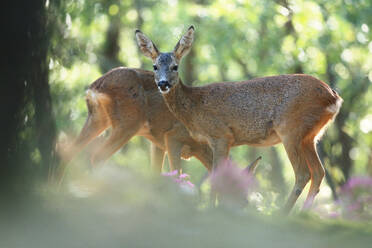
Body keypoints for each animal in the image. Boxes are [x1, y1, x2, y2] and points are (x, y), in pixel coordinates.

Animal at [59, 66, 214, 179]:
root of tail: (96, 87)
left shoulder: (159, 142)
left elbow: (156, 173)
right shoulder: (173, 135)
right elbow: (176, 174)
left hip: (97, 118)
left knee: (67, 152)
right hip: (128, 123)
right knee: (97, 157)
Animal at [135, 26, 342, 213]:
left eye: (175, 67)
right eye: (154, 66)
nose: (163, 83)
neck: (194, 107)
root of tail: (334, 97)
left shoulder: (221, 135)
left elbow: (216, 177)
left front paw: (212, 209)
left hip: (290, 129)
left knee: (303, 173)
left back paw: (283, 213)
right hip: (310, 136)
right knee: (319, 172)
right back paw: (303, 213)